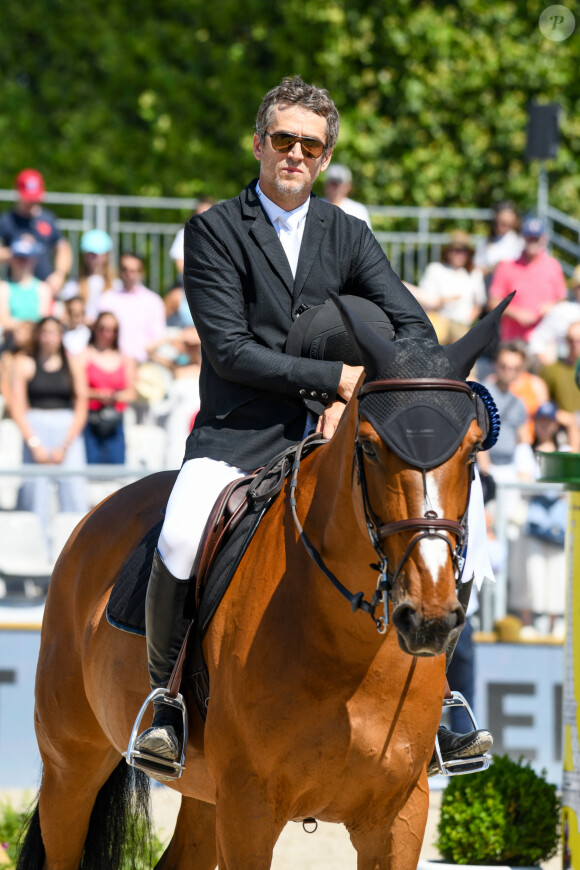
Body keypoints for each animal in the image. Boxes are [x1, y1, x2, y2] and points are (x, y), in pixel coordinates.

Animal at [18, 296, 508, 868]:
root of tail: (96, 516)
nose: (428, 618)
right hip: (71, 767)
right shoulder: (249, 809)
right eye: (369, 447)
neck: (350, 649)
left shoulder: (399, 816)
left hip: (202, 793)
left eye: (472, 450)